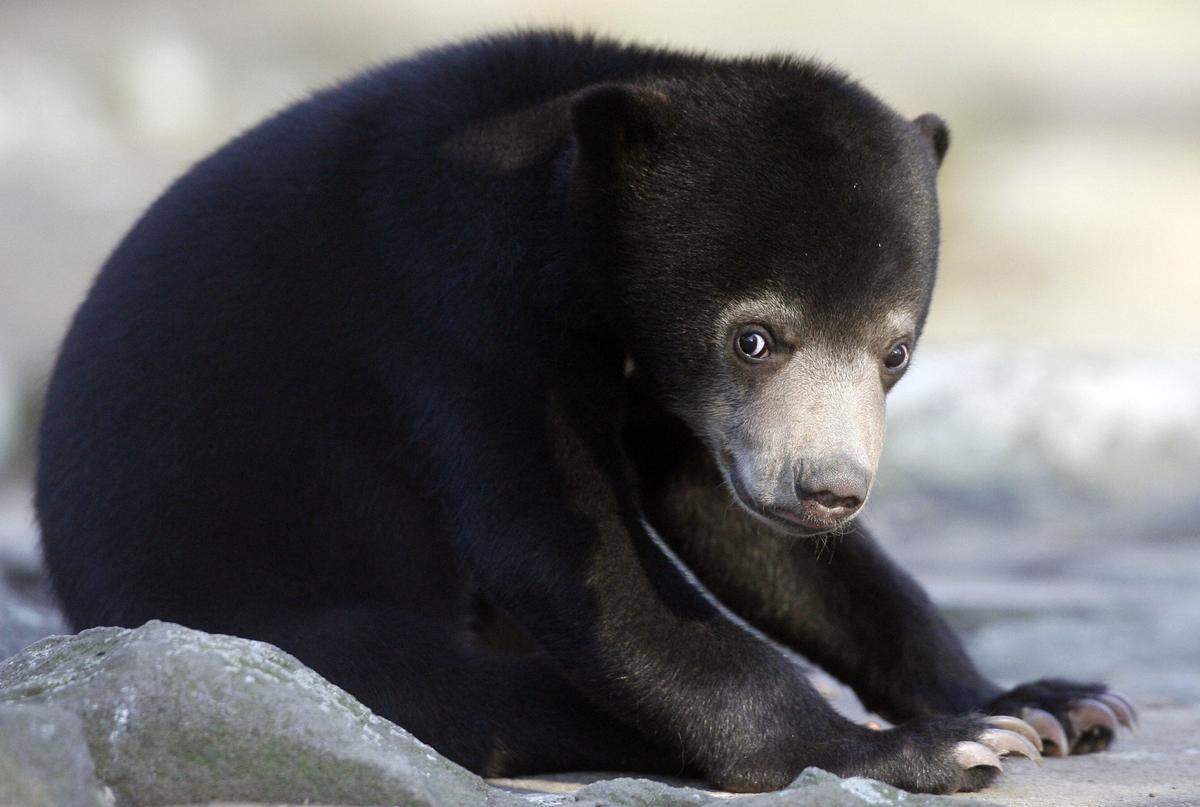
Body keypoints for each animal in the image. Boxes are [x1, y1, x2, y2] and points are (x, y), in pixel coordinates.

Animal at [36, 31, 1134, 794]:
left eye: (895, 350)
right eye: (754, 337)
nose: (829, 488)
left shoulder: (686, 403)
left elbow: (748, 533)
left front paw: (1043, 703)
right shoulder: (454, 301)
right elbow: (573, 554)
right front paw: (926, 746)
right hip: (227, 596)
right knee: (427, 682)